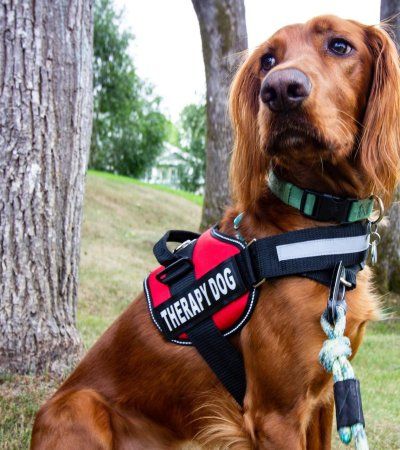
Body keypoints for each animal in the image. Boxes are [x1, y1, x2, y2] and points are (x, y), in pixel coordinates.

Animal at [31, 15, 400, 448]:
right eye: (268, 60)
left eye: (340, 45)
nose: (279, 89)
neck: (316, 228)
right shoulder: (276, 414)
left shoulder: (326, 395)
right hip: (78, 405)